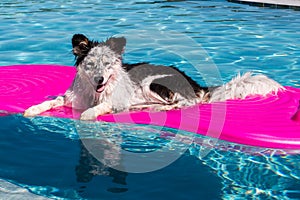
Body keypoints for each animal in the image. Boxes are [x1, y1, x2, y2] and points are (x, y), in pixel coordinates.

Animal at [23, 34, 284, 120]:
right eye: (91, 64)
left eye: (108, 64)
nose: (100, 81)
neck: (94, 93)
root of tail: (195, 83)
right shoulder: (72, 97)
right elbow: (51, 101)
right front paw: (33, 108)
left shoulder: (115, 100)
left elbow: (102, 106)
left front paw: (89, 114)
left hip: (155, 83)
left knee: (185, 103)